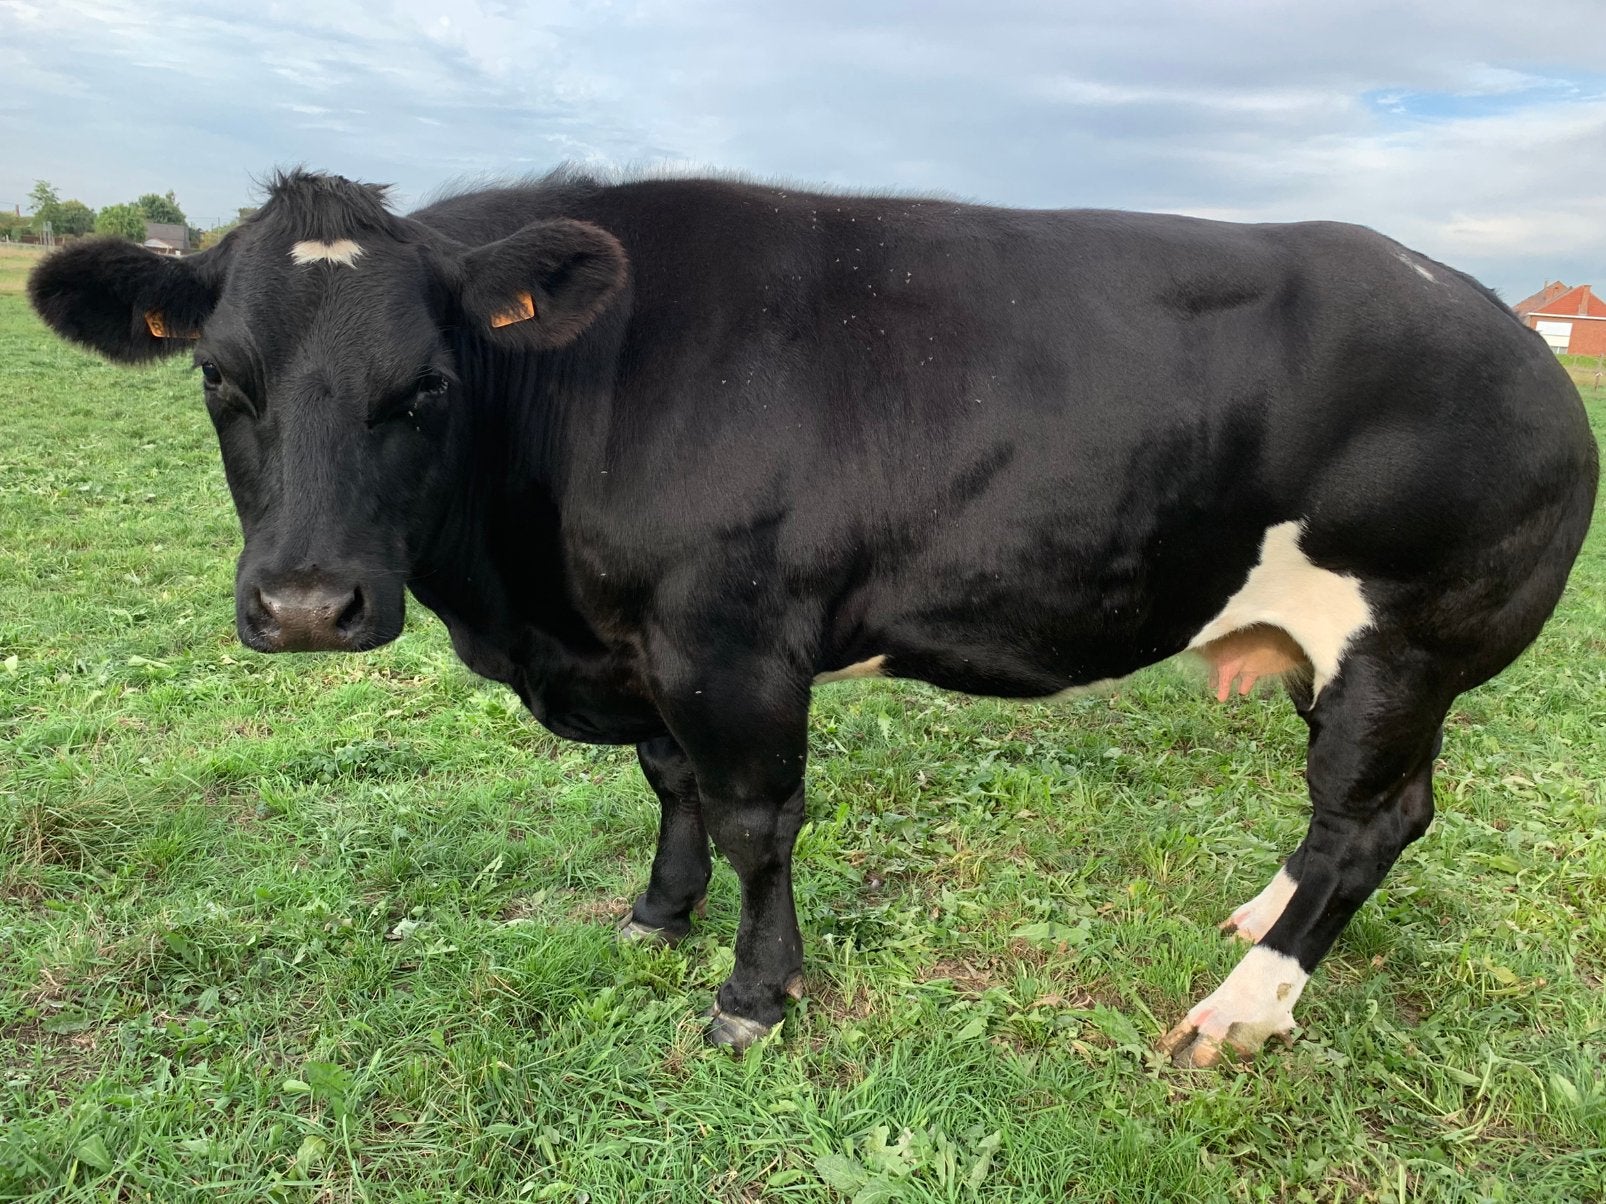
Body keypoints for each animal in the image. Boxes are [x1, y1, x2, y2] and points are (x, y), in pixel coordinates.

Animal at [28, 169, 1596, 1067]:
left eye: (427, 383)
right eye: (220, 378)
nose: (306, 602)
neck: (529, 608)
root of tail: (1512, 330)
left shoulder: (730, 640)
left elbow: (753, 820)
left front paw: (751, 994)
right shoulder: (637, 648)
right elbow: (667, 788)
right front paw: (655, 917)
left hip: (1408, 638)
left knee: (1364, 825)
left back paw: (1243, 1007)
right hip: (1371, 660)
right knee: (1377, 820)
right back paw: (1260, 917)